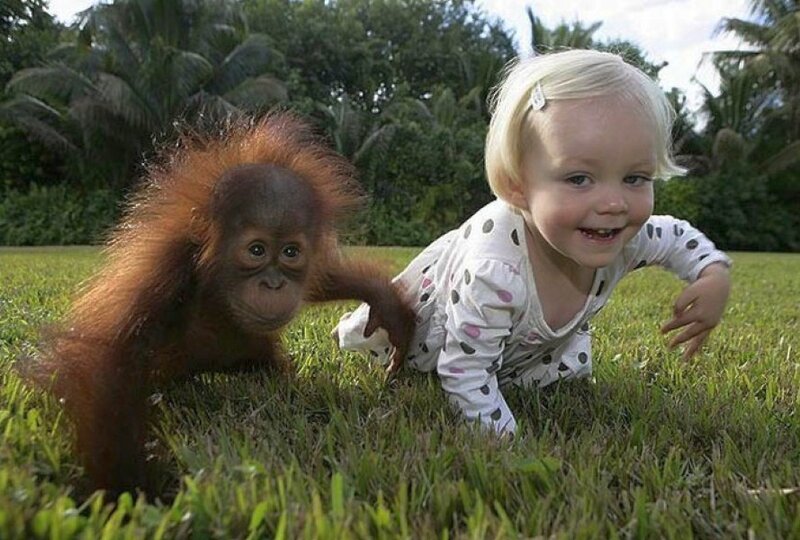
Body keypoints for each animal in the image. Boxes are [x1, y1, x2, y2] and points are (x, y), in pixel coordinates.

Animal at [20, 112, 415, 496]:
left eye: (290, 252)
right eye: (256, 250)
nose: (273, 283)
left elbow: (319, 279)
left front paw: (388, 307)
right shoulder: (167, 268)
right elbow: (112, 359)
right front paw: (125, 490)